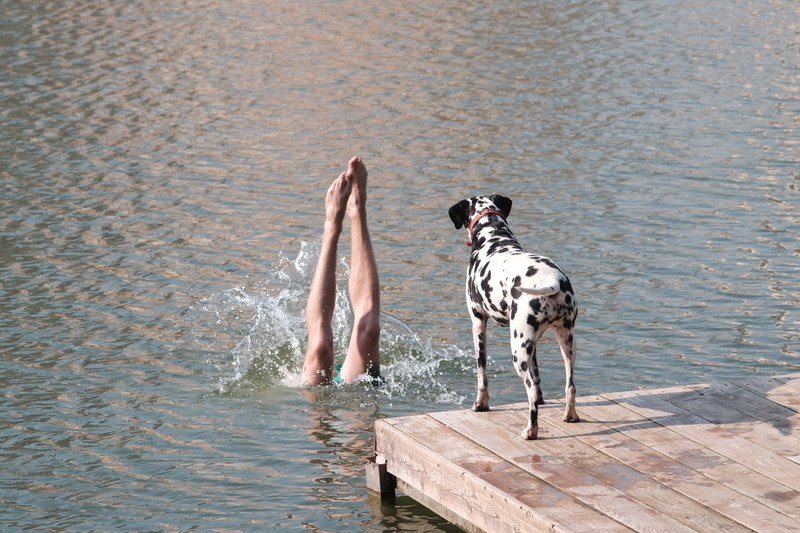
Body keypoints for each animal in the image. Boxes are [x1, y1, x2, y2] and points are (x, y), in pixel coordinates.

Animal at [446, 193, 580, 438]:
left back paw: (530, 431)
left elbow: (482, 373)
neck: (493, 238)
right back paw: (570, 416)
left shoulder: (478, 323)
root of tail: (554, 281)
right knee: (569, 385)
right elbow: (539, 379)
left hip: (518, 350)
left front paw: (481, 404)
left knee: (531, 394)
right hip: (566, 343)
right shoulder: (534, 344)